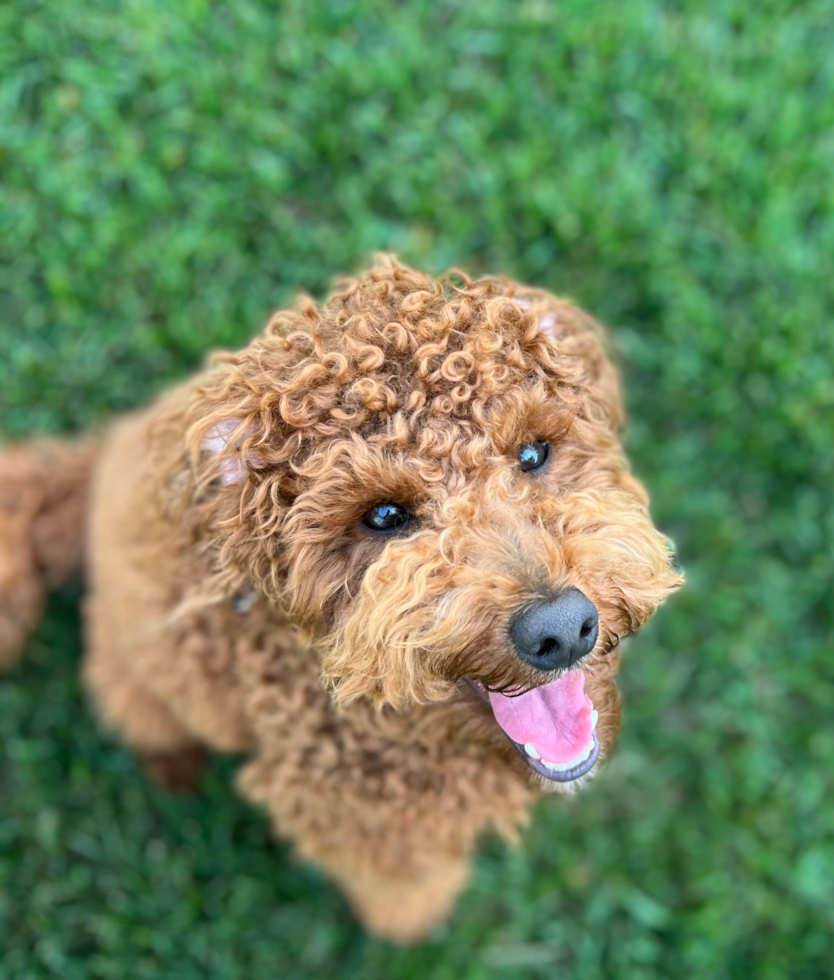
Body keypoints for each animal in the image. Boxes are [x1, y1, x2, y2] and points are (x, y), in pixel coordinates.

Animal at [0, 258, 676, 940]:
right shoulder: (361, 825)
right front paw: (410, 922)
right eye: (383, 516)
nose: (561, 629)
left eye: (534, 453)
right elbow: (401, 888)